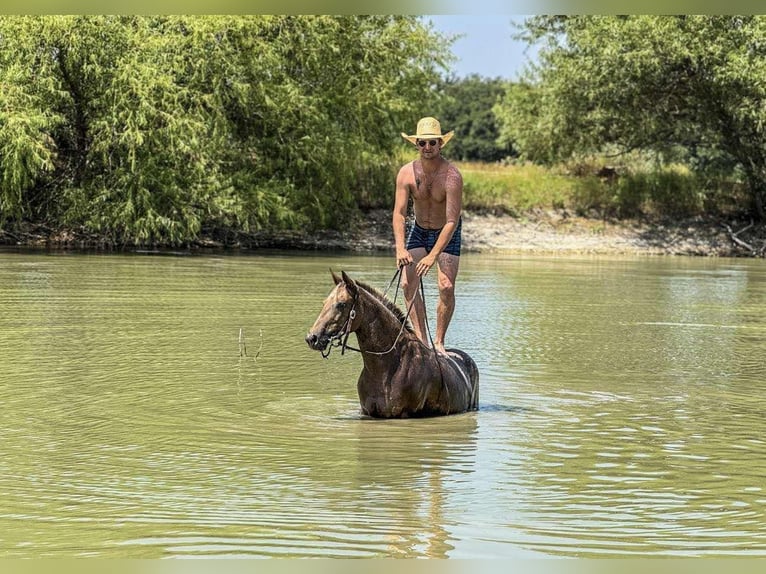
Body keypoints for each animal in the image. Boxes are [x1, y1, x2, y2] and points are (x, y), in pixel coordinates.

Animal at [306, 270, 480, 418]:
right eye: (324, 303)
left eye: (341, 304)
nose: (312, 338)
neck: (385, 366)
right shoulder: (366, 413)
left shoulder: (403, 414)